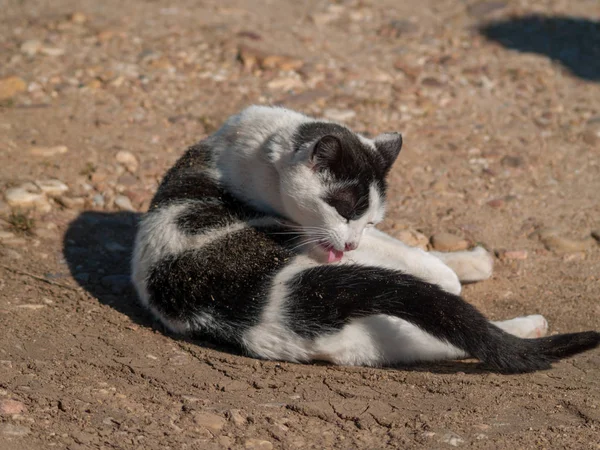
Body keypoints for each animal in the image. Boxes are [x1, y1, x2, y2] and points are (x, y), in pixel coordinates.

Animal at [132, 105, 600, 372]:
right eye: (344, 210)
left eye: (371, 219)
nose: (353, 243)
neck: (259, 146)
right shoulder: (307, 233)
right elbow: (403, 252)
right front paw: (448, 274)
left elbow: (401, 243)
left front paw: (469, 263)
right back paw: (519, 320)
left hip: (376, 339)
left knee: (446, 341)